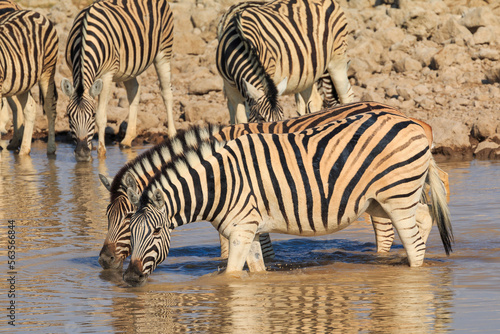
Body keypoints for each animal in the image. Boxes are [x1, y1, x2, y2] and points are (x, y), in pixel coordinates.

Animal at [0, 6, 58, 155]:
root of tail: (33, 12)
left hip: (47, 69)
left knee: (50, 108)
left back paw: (51, 149)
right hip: (23, 80)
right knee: (30, 108)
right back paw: (24, 151)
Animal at [61, 0, 176, 162]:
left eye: (92, 115)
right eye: (69, 116)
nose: (82, 153)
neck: (85, 36)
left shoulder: (107, 74)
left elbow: (102, 116)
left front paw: (101, 152)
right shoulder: (72, 68)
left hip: (163, 51)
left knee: (166, 92)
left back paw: (172, 135)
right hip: (131, 65)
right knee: (134, 91)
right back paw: (127, 139)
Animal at [122, 109, 454, 288]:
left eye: (155, 231)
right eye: (129, 230)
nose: (130, 278)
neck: (222, 183)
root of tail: (414, 123)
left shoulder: (241, 231)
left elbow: (230, 275)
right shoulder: (249, 231)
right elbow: (256, 272)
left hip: (396, 196)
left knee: (414, 243)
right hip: (385, 200)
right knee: (425, 217)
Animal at [217, 0, 354, 124]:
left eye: (282, 117)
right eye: (262, 118)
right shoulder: (230, 86)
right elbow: (241, 118)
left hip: (337, 59)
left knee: (347, 94)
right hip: (308, 71)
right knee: (314, 100)